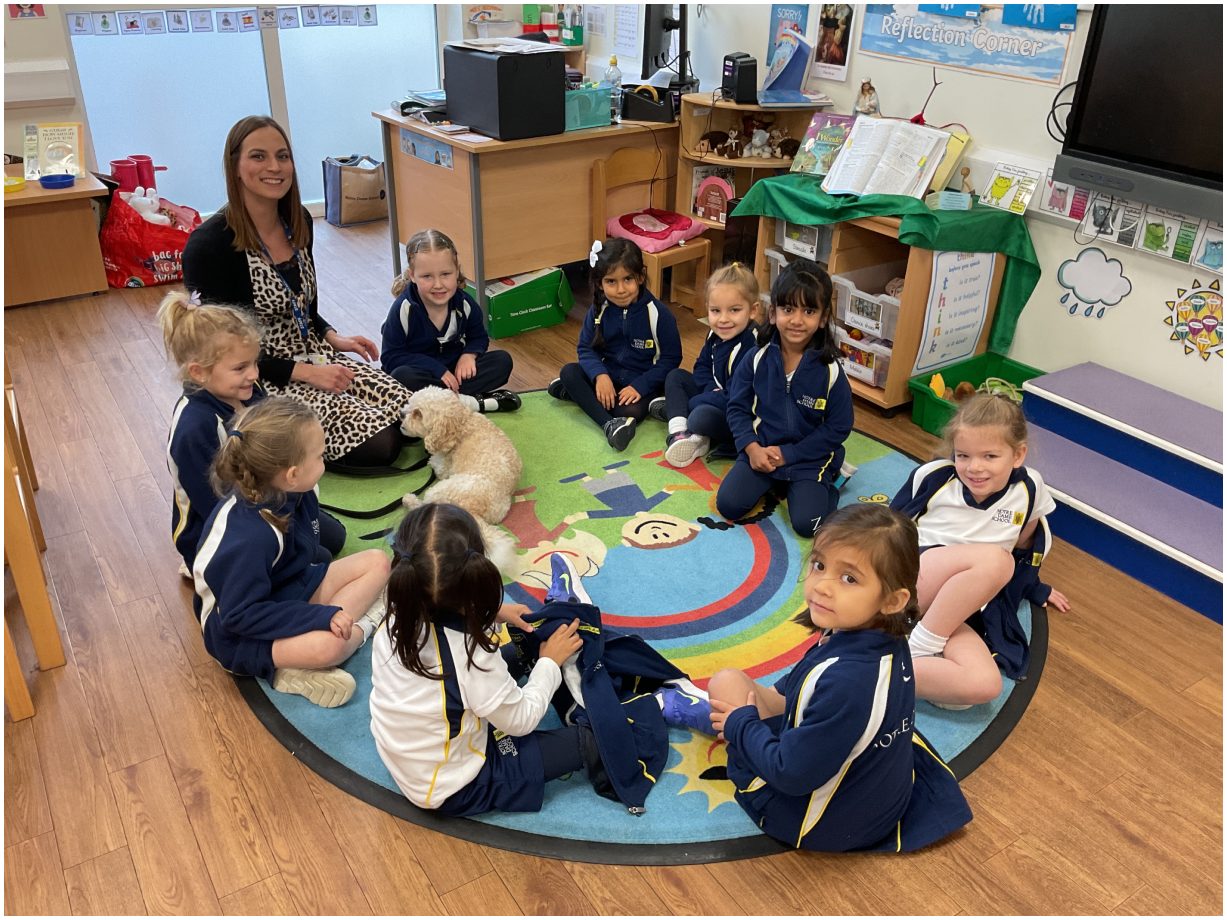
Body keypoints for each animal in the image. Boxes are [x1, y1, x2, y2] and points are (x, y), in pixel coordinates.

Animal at [400, 385, 520, 574]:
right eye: (410, 403)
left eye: (418, 413)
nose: (401, 414)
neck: (462, 422)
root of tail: (473, 511)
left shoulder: (444, 468)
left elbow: (436, 462)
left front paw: (430, 459)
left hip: (440, 490)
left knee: (425, 509)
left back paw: (409, 500)